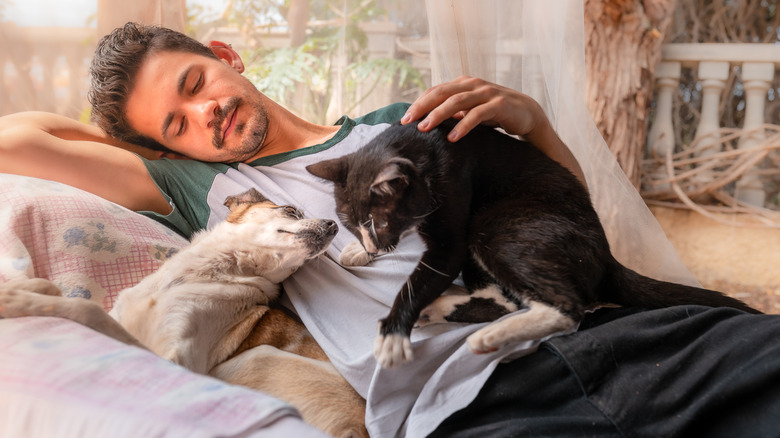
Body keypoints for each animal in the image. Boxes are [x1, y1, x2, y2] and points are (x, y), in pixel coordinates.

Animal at [0, 188, 368, 438]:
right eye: (291, 210)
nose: (335, 225)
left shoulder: (176, 360)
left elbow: (86, 308)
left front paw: (15, 299)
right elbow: (67, 297)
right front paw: (28, 287)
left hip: (254, 359)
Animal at [306, 118, 760, 368]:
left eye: (379, 221)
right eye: (352, 224)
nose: (374, 246)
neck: (420, 145)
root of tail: (607, 254)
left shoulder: (452, 207)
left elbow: (421, 277)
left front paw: (392, 335)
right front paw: (358, 251)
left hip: (496, 223)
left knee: (567, 305)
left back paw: (485, 335)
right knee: (506, 297)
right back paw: (447, 310)